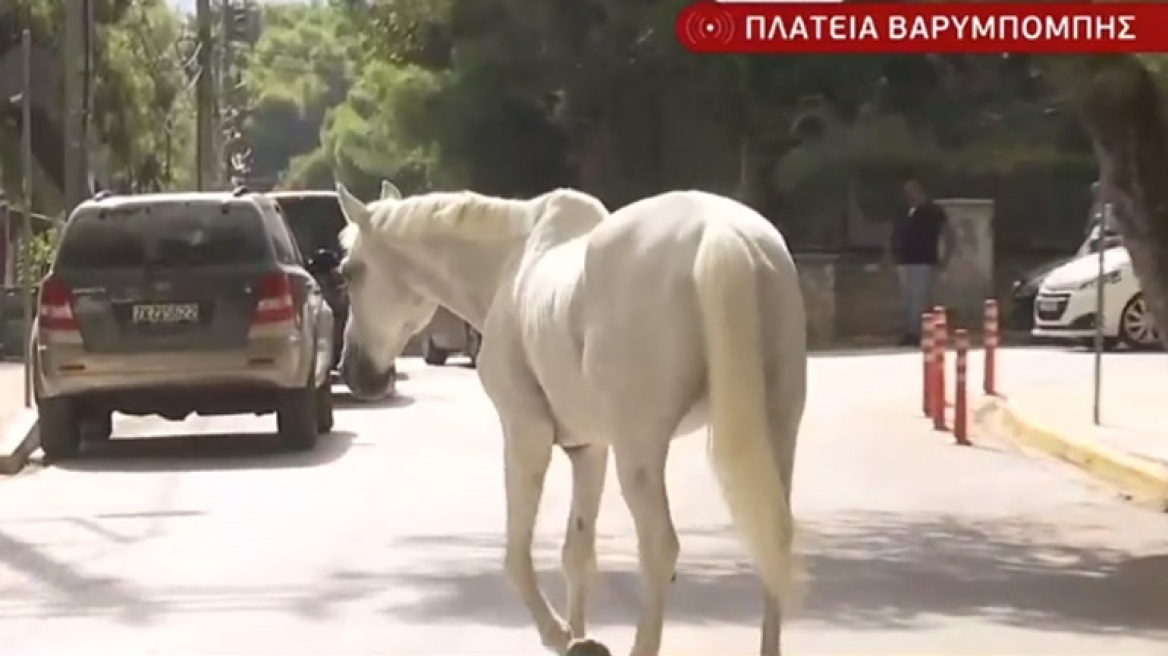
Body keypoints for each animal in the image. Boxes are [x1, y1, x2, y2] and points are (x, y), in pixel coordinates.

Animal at [334, 179, 808, 653]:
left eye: (348, 272)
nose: (356, 373)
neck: (510, 266)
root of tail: (723, 235)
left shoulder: (525, 431)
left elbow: (517, 554)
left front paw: (563, 636)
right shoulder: (590, 448)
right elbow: (577, 551)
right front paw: (580, 636)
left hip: (640, 450)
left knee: (660, 547)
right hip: (777, 430)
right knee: (774, 537)